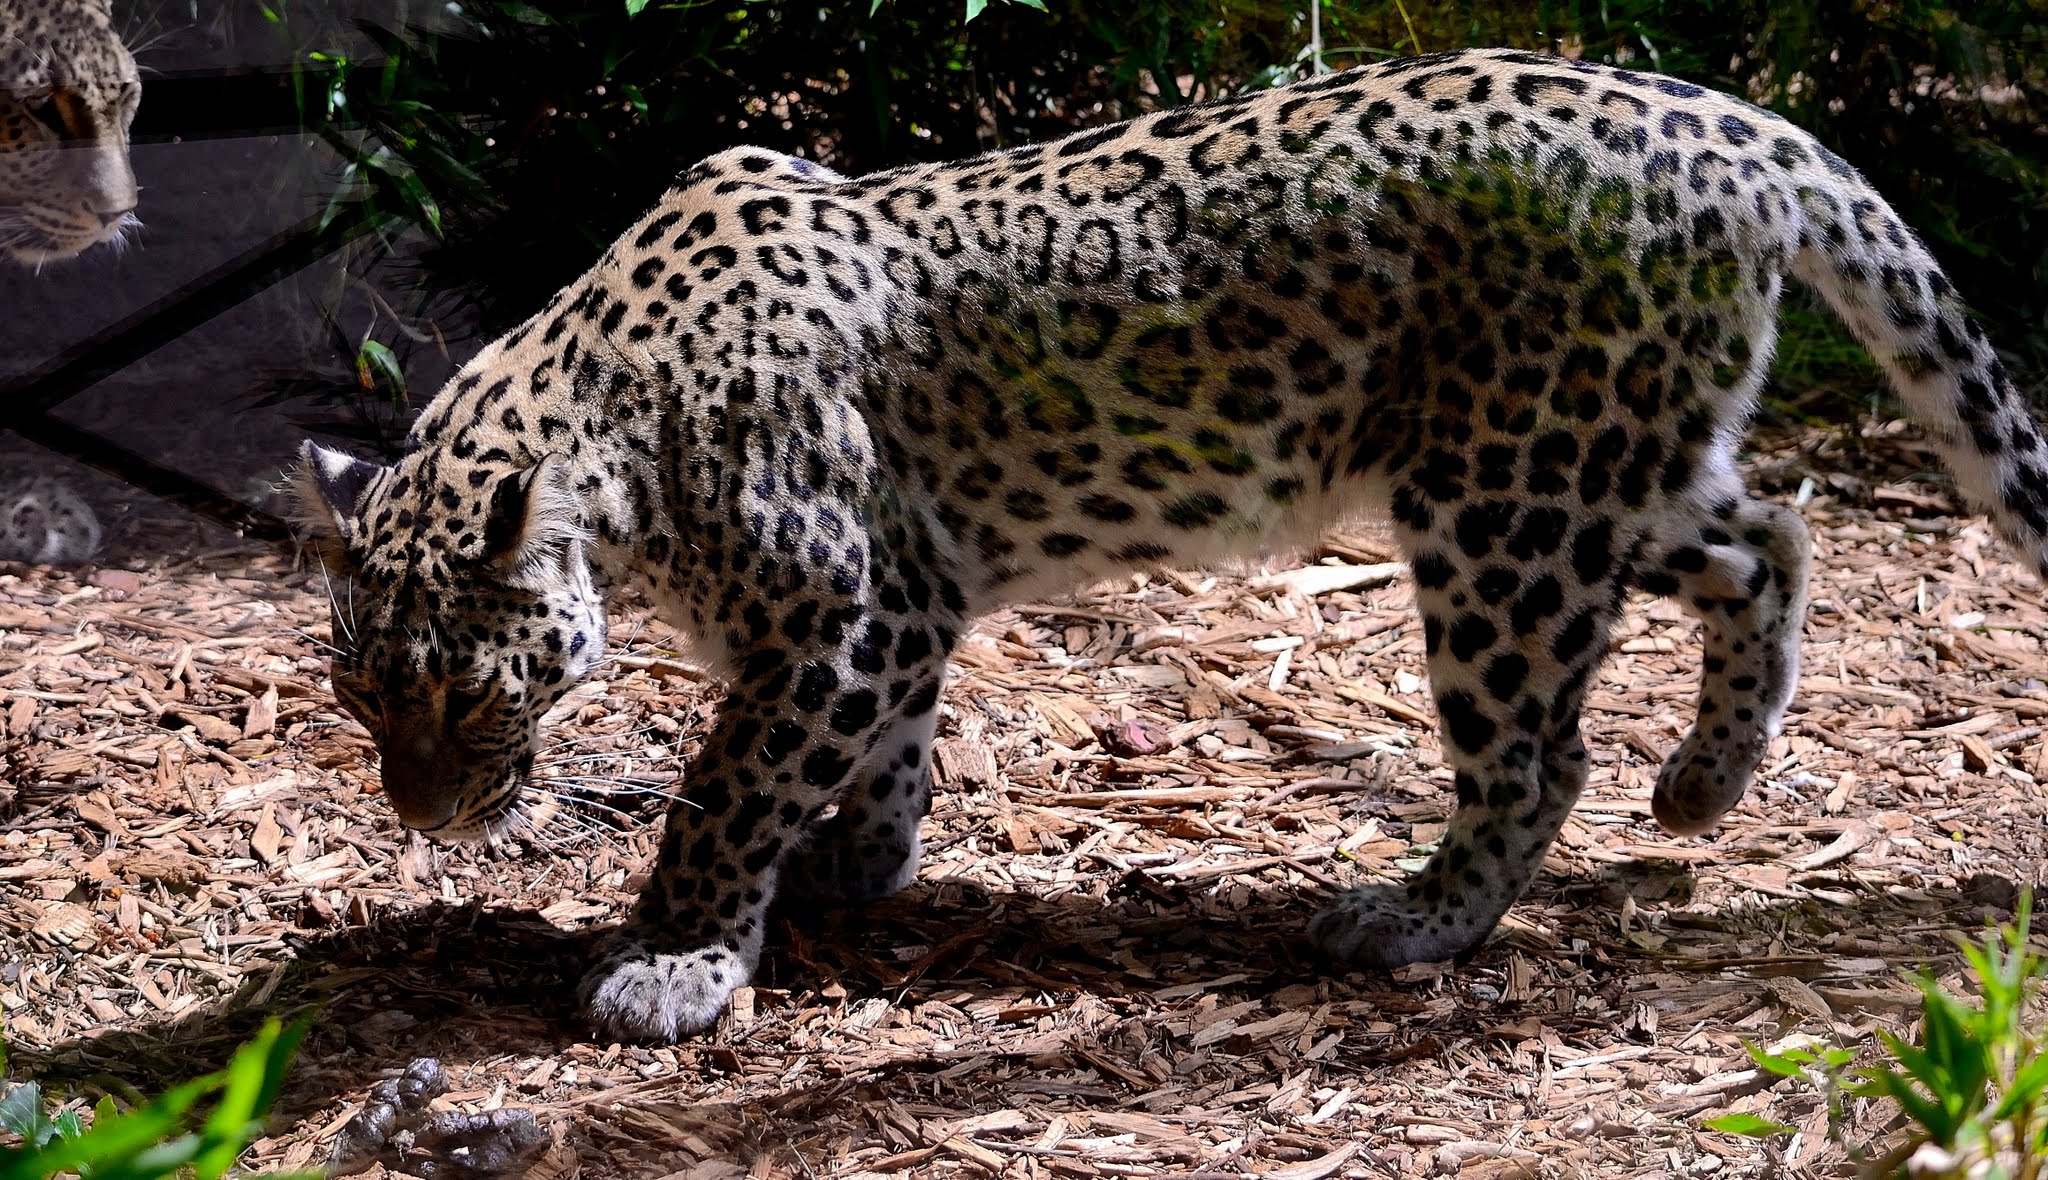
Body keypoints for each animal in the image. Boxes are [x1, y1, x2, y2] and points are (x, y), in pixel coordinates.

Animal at [290, 48, 2048, 1044]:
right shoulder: (902, 608)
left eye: (470, 698)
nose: (425, 818)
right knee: (1777, 533)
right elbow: (884, 749)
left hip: (1505, 511)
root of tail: (1736, 125)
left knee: (1543, 750)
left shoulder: (841, 611)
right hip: (1608, 466)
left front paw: (675, 959)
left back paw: (1413, 921)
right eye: (365, 701)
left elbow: (724, 790)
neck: (616, 429)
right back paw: (1707, 782)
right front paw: (860, 863)